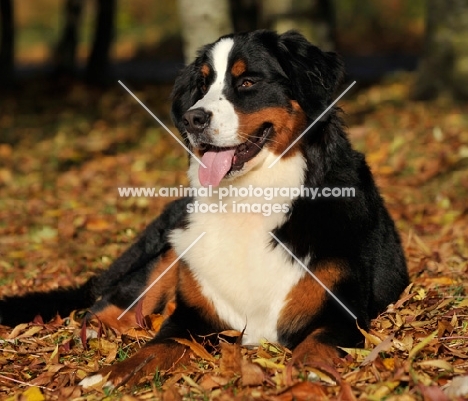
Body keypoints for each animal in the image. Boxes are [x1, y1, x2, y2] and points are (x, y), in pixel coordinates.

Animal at [0, 29, 408, 386]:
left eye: (248, 82)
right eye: (202, 85)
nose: (192, 119)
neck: (247, 199)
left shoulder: (341, 313)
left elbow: (315, 346)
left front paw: (309, 375)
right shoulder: (193, 316)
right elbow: (158, 346)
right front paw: (115, 373)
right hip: (168, 251)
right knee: (103, 314)